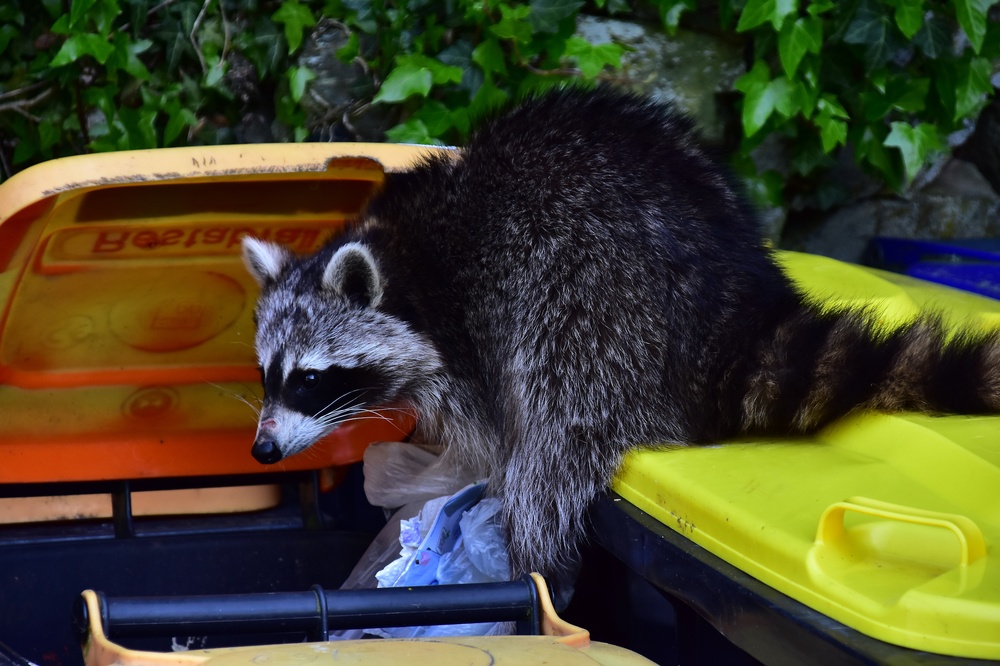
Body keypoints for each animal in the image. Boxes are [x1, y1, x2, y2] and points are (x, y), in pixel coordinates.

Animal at [242, 87, 1000, 579]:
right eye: (266, 374)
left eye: (311, 379)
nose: (263, 450)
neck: (406, 257)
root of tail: (729, 302)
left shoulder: (475, 330)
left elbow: (499, 435)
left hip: (593, 308)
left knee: (552, 450)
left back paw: (533, 564)